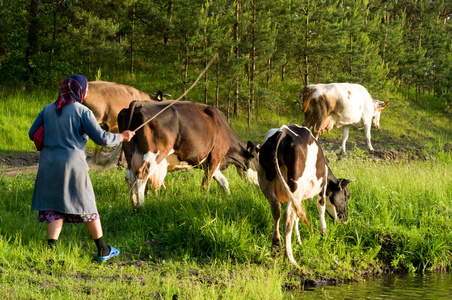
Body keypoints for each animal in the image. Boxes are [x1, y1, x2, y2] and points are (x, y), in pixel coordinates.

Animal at [116, 100, 260, 209]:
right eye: (259, 163)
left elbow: (223, 181)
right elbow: (206, 184)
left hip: (130, 152)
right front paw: (203, 201)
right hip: (154, 153)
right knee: (142, 174)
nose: (259, 186)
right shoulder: (216, 156)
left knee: (129, 177)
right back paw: (141, 205)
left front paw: (229, 197)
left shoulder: (209, 162)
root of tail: (138, 103)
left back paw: (134, 205)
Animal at [256, 124, 354, 264]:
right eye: (346, 196)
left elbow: (298, 215)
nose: (345, 220)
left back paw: (276, 246)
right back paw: (290, 257)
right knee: (287, 216)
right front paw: (324, 233)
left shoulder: (298, 197)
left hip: (266, 182)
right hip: (295, 186)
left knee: (276, 210)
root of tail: (282, 131)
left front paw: (299, 240)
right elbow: (321, 208)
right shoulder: (322, 187)